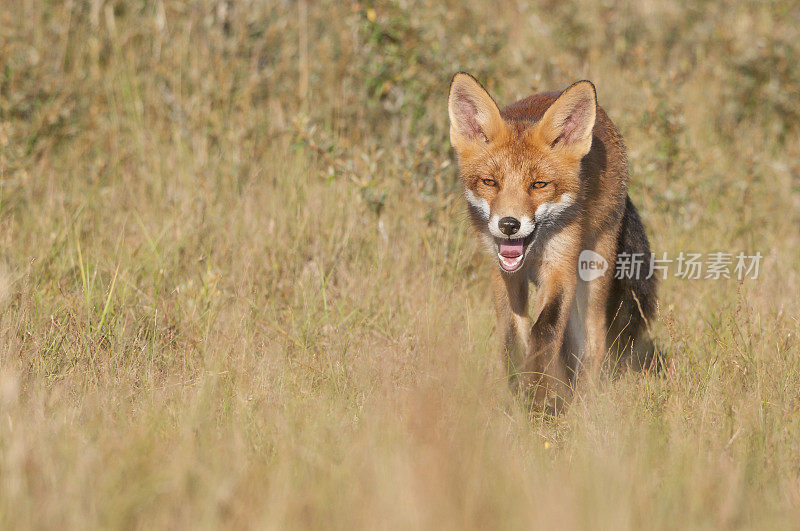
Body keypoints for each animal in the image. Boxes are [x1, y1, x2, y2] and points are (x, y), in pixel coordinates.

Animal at [446, 71, 652, 412]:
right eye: (490, 182)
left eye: (539, 185)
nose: (509, 225)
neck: (534, 251)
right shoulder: (504, 274)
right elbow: (513, 335)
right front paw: (520, 389)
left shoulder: (560, 269)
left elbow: (544, 329)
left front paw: (536, 393)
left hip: (592, 274)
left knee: (593, 340)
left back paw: (585, 402)